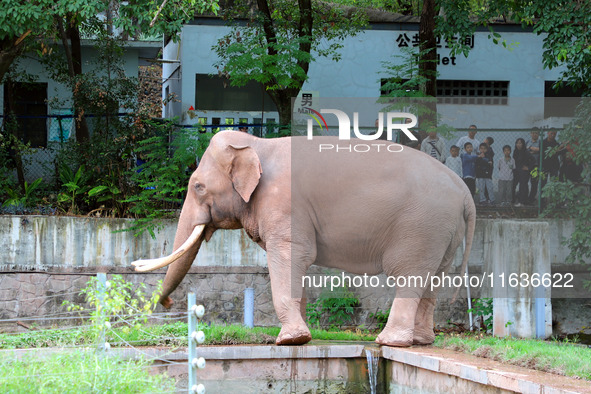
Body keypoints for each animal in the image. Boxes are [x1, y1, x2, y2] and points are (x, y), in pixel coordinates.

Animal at [133, 131, 476, 346]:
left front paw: (290, 340)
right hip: (443, 232)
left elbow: (290, 257)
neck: (258, 145)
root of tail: (465, 192)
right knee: (433, 281)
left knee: (408, 274)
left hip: (421, 226)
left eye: (198, 187)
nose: (168, 302)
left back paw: (390, 342)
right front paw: (301, 335)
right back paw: (421, 341)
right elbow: (299, 265)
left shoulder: (285, 205)